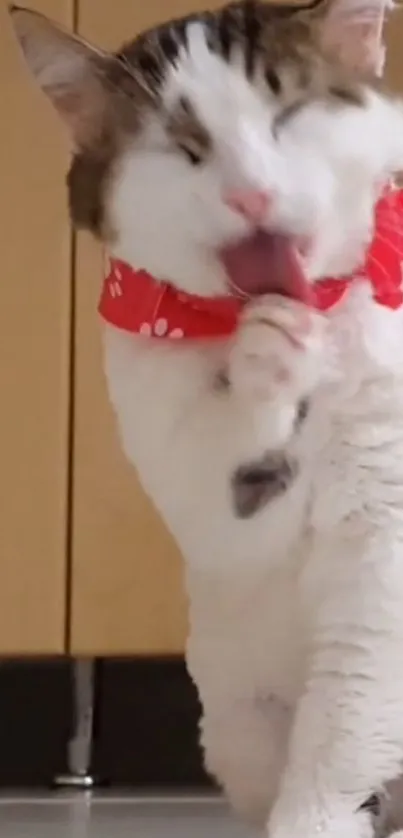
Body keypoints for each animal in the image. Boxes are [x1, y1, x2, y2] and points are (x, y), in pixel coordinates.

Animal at [9, 0, 403, 836]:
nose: (250, 196)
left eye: (286, 115)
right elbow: (233, 506)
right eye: (185, 148)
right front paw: (266, 355)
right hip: (233, 714)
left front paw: (314, 816)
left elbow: (350, 709)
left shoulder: (381, 544)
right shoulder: (183, 460)